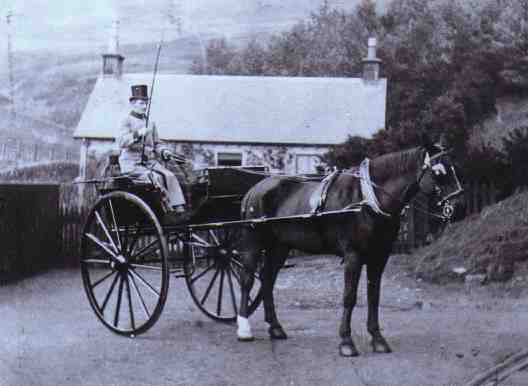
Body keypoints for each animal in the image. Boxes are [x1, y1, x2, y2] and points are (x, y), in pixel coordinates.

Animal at [235, 137, 462, 358]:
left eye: (453, 167)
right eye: (438, 171)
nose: (458, 205)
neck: (367, 199)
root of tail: (255, 190)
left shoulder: (379, 257)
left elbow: (374, 296)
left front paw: (377, 338)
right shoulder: (354, 256)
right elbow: (349, 297)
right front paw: (346, 342)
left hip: (280, 247)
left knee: (267, 279)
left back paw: (275, 327)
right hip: (253, 243)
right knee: (247, 280)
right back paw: (244, 328)